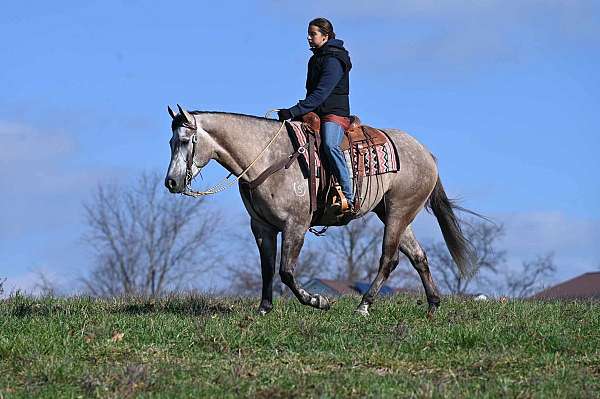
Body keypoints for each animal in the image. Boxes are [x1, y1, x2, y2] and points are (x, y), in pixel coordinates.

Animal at [164, 106, 474, 318]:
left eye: (185, 141)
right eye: (170, 142)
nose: (172, 182)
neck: (269, 158)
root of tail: (426, 154)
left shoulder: (295, 225)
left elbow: (286, 271)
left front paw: (317, 300)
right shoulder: (262, 227)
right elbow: (267, 268)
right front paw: (264, 308)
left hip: (399, 211)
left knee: (389, 258)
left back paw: (363, 306)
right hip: (391, 213)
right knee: (418, 257)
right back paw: (433, 304)